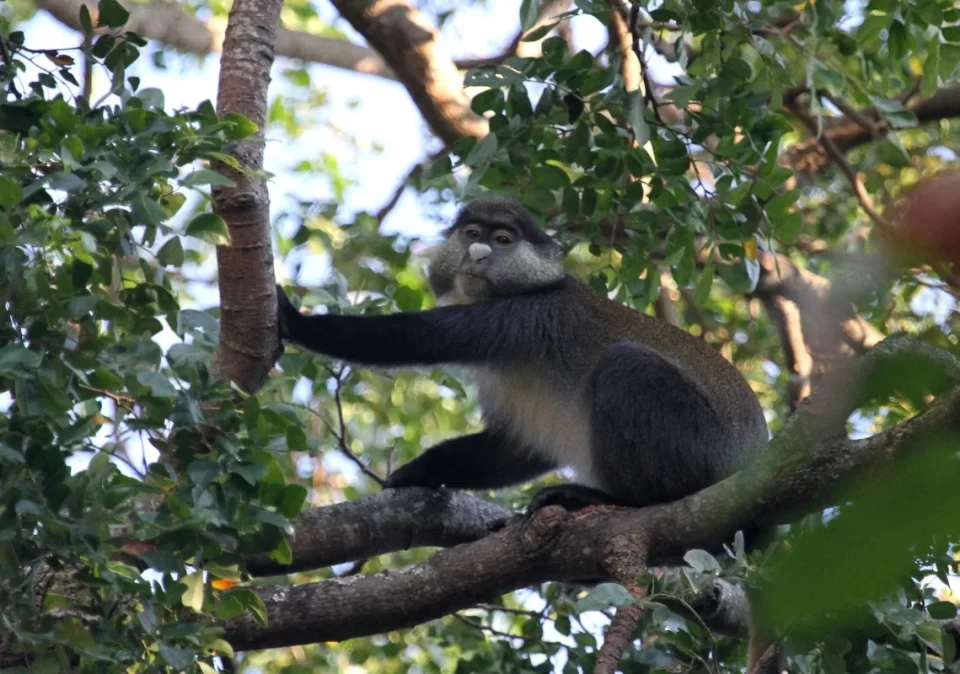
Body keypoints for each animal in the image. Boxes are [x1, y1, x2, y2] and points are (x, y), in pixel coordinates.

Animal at [275, 196, 769, 516]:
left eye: (503, 240)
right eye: (472, 234)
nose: (477, 253)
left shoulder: (520, 318)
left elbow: (413, 337)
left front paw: (294, 320)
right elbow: (514, 447)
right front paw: (418, 472)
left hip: (697, 446)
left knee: (626, 366)